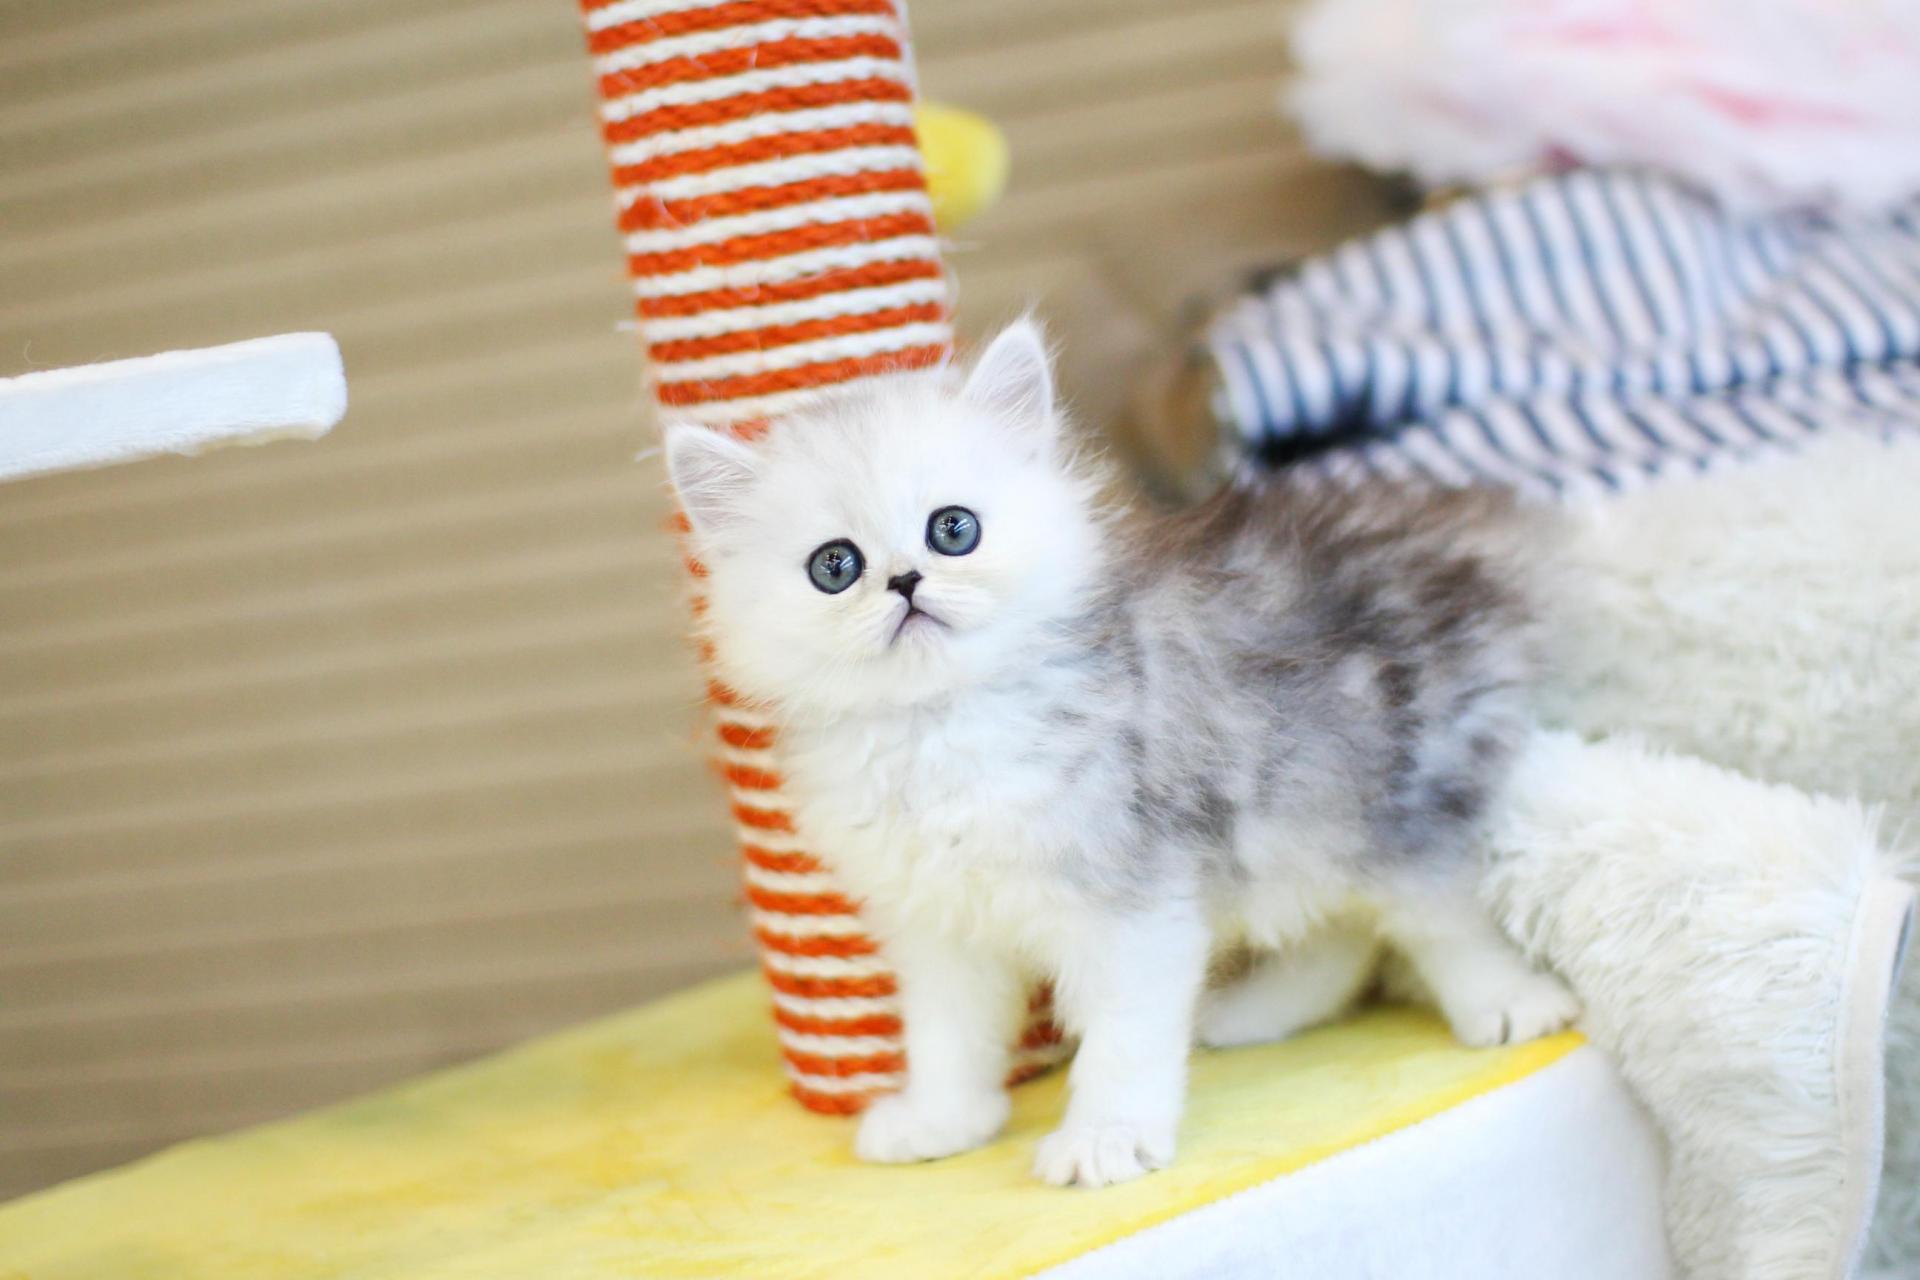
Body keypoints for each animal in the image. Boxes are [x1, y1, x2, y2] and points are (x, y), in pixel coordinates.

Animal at [663, 318, 1578, 1189]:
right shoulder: (937, 925)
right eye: (835, 566)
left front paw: (1105, 1139)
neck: (941, 729)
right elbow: (948, 1035)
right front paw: (942, 1122)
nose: (904, 582)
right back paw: (1252, 1015)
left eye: (952, 530)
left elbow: (1123, 1039)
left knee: (1440, 918)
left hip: (1392, 797)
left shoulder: (1132, 903)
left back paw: (1510, 1004)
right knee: (1340, 935)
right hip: (1302, 820)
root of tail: (1469, 535)